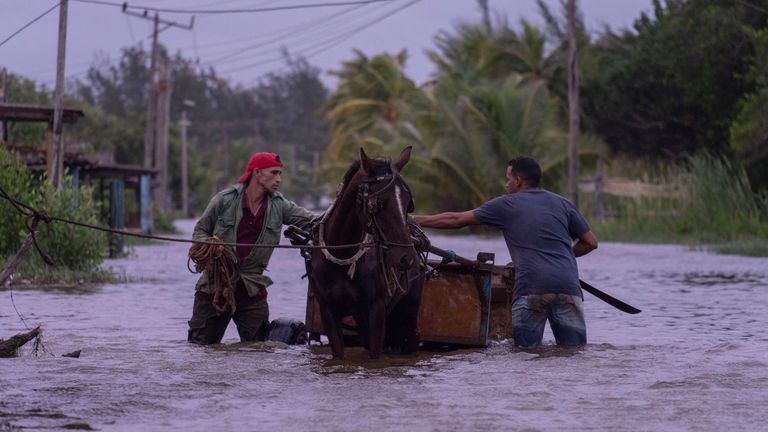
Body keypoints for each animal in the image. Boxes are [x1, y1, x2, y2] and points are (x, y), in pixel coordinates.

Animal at [308, 147, 424, 360]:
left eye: (408, 204)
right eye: (378, 204)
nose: (406, 258)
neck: (343, 255)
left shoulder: (376, 310)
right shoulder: (328, 311)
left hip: (410, 309)